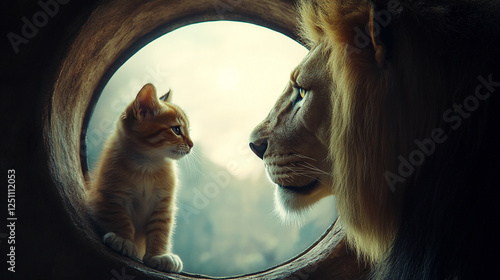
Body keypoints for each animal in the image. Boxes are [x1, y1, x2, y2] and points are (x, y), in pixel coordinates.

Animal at [87, 82, 192, 272]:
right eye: (176, 129)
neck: (147, 166)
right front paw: (123, 239)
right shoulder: (110, 197)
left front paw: (159, 255)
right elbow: (121, 219)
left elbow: (160, 232)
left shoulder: (163, 206)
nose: (191, 144)